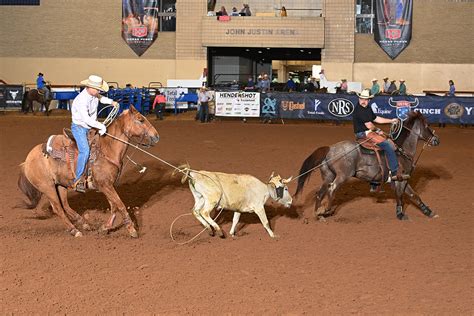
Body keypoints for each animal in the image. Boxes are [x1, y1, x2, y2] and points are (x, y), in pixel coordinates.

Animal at [17, 105, 160, 237]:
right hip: (48, 187)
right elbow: (120, 205)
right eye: (140, 120)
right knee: (58, 209)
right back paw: (75, 231)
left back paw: (85, 224)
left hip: (61, 185)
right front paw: (131, 229)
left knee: (65, 206)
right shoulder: (105, 185)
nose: (156, 136)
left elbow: (114, 206)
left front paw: (105, 227)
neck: (107, 149)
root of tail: (27, 161)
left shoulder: (107, 185)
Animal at [296, 111, 440, 220]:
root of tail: (330, 149)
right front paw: (400, 214)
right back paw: (327, 209)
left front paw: (428, 212)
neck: (401, 150)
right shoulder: (400, 178)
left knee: (320, 193)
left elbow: (414, 195)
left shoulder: (403, 179)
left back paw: (319, 214)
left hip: (328, 176)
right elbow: (400, 196)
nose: (436, 140)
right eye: (427, 125)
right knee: (332, 189)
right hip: (342, 175)